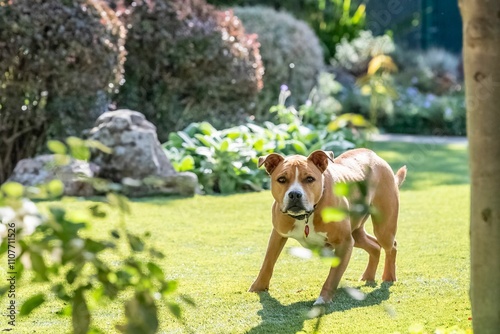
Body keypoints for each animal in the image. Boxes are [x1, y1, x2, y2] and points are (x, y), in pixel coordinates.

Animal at [248, 149, 408, 306]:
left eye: (309, 179)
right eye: (281, 179)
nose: (294, 194)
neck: (306, 216)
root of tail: (375, 156)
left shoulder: (344, 243)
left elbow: (333, 276)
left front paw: (323, 299)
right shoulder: (278, 234)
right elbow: (267, 263)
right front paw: (258, 287)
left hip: (383, 229)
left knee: (391, 246)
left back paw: (388, 276)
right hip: (356, 234)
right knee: (374, 246)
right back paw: (368, 276)